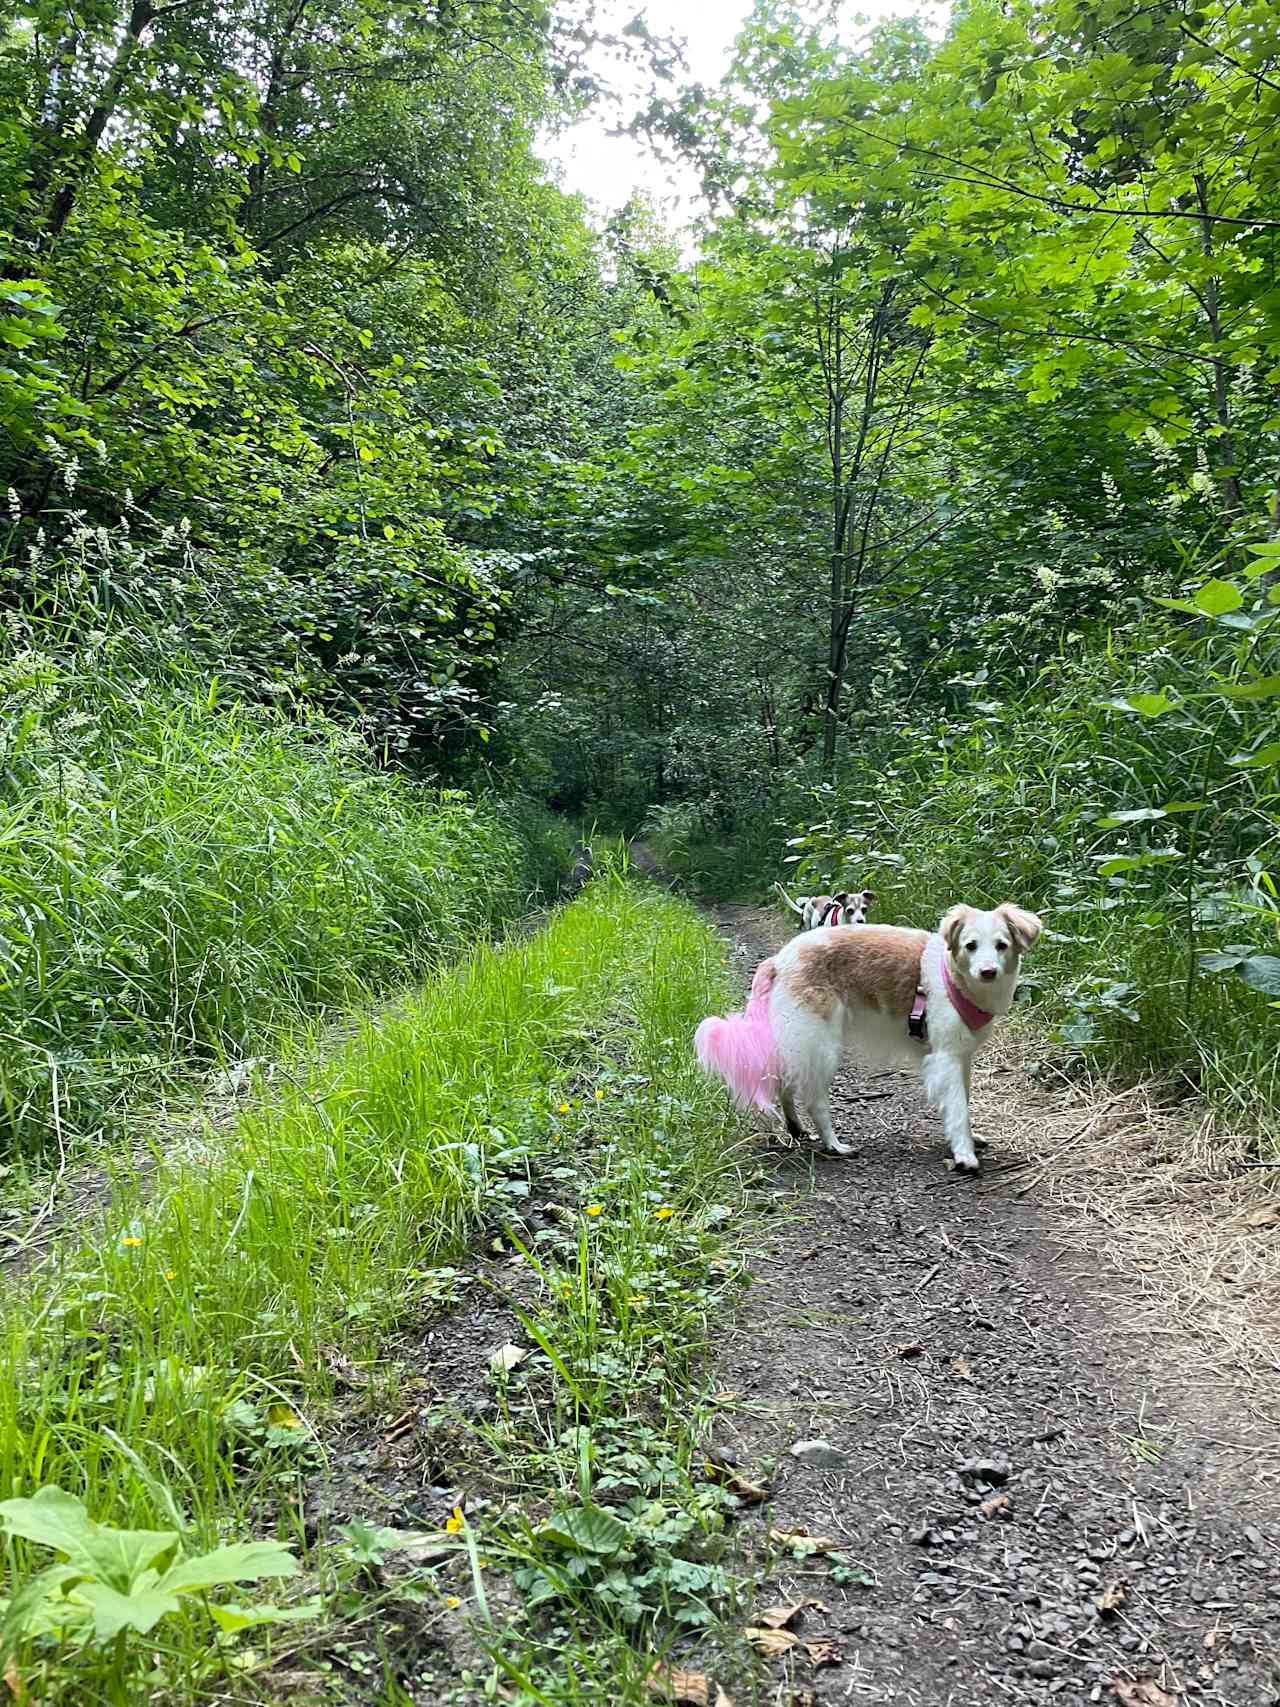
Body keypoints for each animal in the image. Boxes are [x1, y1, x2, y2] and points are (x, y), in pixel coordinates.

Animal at [696, 908, 1044, 1174]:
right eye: (970, 945)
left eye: (1001, 945)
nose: (988, 972)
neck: (955, 979)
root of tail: (780, 959)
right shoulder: (945, 1058)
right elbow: (958, 1108)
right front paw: (964, 1153)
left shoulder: (962, 1057)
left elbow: (964, 1103)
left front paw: (971, 1138)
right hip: (821, 1046)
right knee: (814, 1099)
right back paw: (833, 1144)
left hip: (799, 1042)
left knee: (786, 1082)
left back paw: (796, 1128)